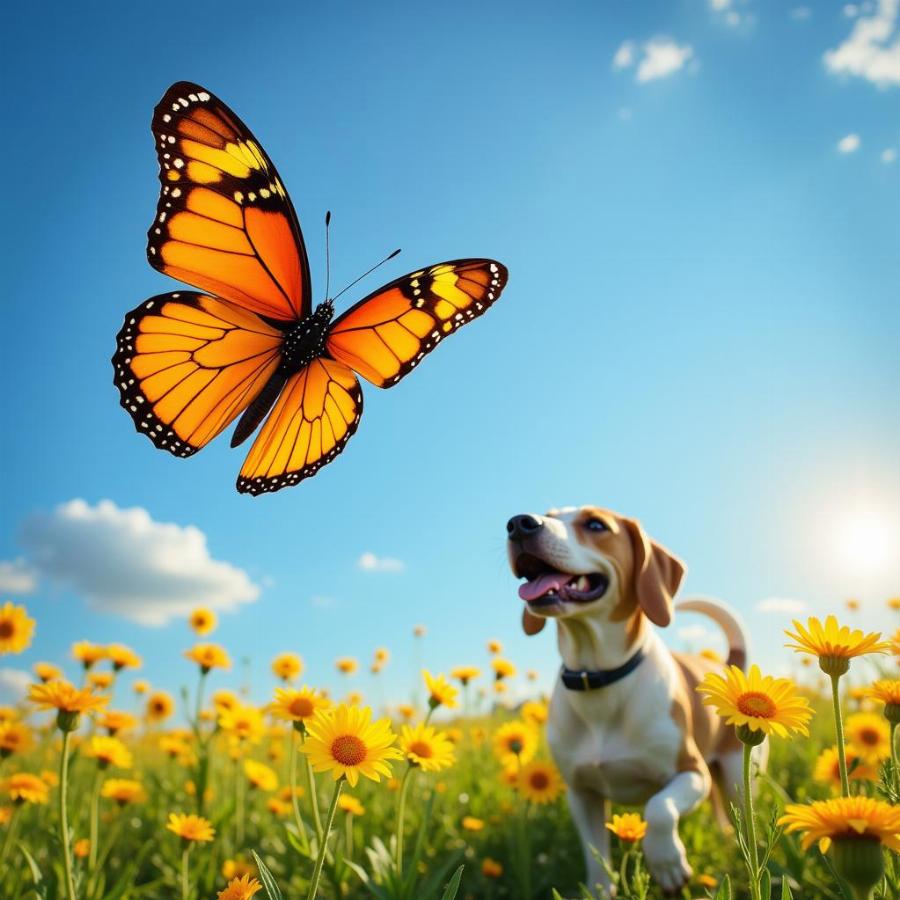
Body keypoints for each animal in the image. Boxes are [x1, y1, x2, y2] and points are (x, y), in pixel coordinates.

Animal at [502, 506, 764, 892]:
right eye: (548, 514)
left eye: (595, 524)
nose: (520, 523)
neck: (598, 681)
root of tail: (728, 665)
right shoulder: (582, 794)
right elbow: (596, 858)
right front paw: (602, 888)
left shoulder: (692, 773)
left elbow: (658, 808)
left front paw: (667, 861)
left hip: (735, 776)